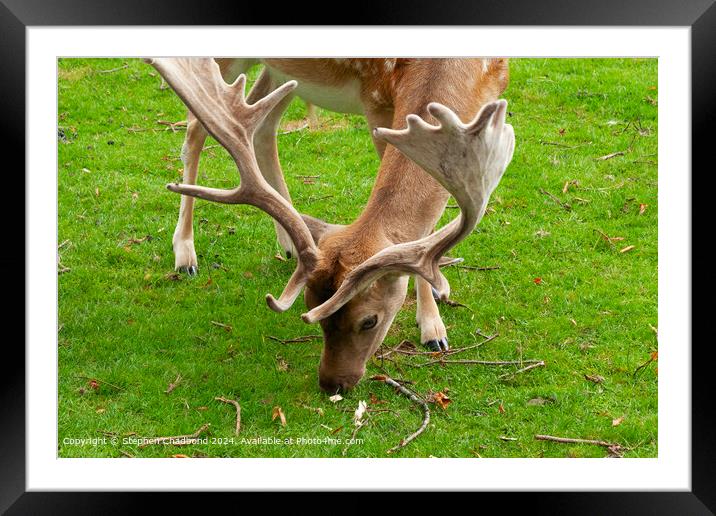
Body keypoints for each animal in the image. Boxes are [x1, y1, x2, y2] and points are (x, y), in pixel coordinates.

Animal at [148, 57, 512, 392]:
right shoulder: (378, 103)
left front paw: (436, 309)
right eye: (311, 308)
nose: (331, 383)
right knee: (195, 130)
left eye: (369, 321)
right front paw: (433, 328)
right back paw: (185, 254)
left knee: (262, 123)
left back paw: (289, 244)